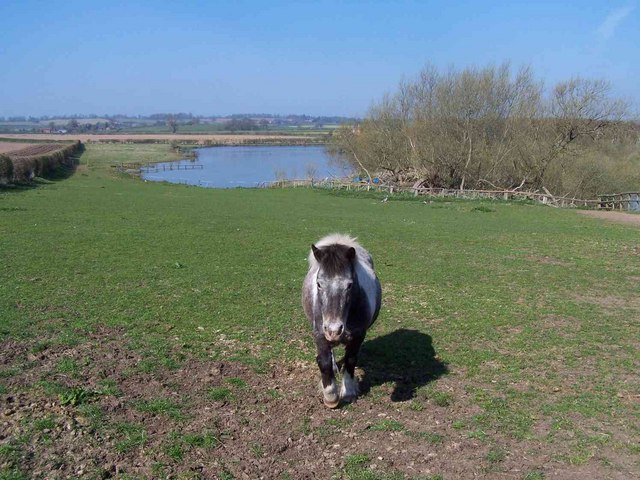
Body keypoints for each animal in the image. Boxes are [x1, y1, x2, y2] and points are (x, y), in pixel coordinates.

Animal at [302, 234, 380, 406]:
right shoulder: (319, 333)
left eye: (349, 285)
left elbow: (350, 360)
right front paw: (330, 396)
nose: (334, 330)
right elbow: (324, 361)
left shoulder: (358, 335)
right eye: (319, 284)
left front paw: (348, 392)